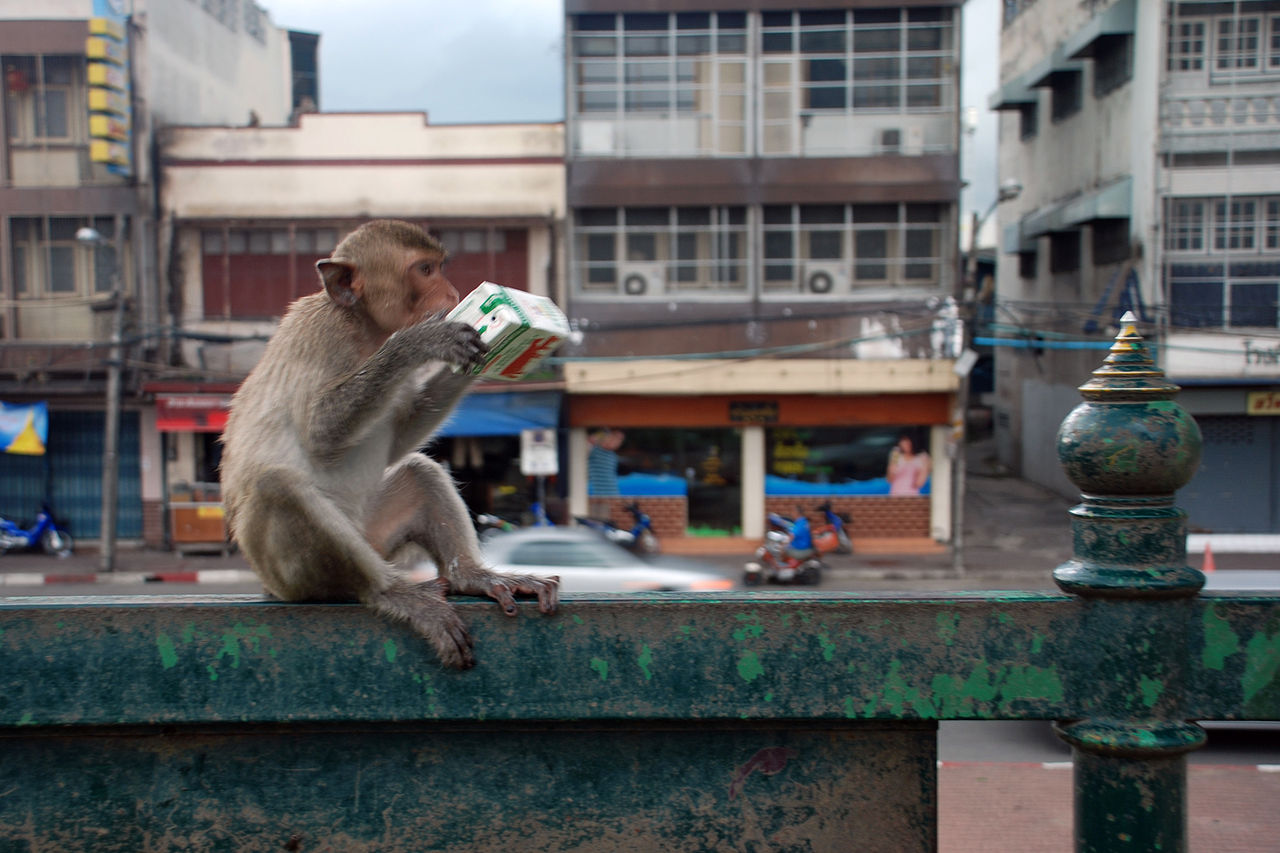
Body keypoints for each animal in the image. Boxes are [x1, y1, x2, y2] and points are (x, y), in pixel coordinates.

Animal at [220, 219, 559, 669]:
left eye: (438, 267)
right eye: (425, 270)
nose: (454, 294)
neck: (362, 325)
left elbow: (400, 435)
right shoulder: (324, 335)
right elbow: (321, 432)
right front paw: (422, 342)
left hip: (376, 536)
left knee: (420, 469)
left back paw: (471, 575)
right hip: (287, 574)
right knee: (278, 485)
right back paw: (392, 592)